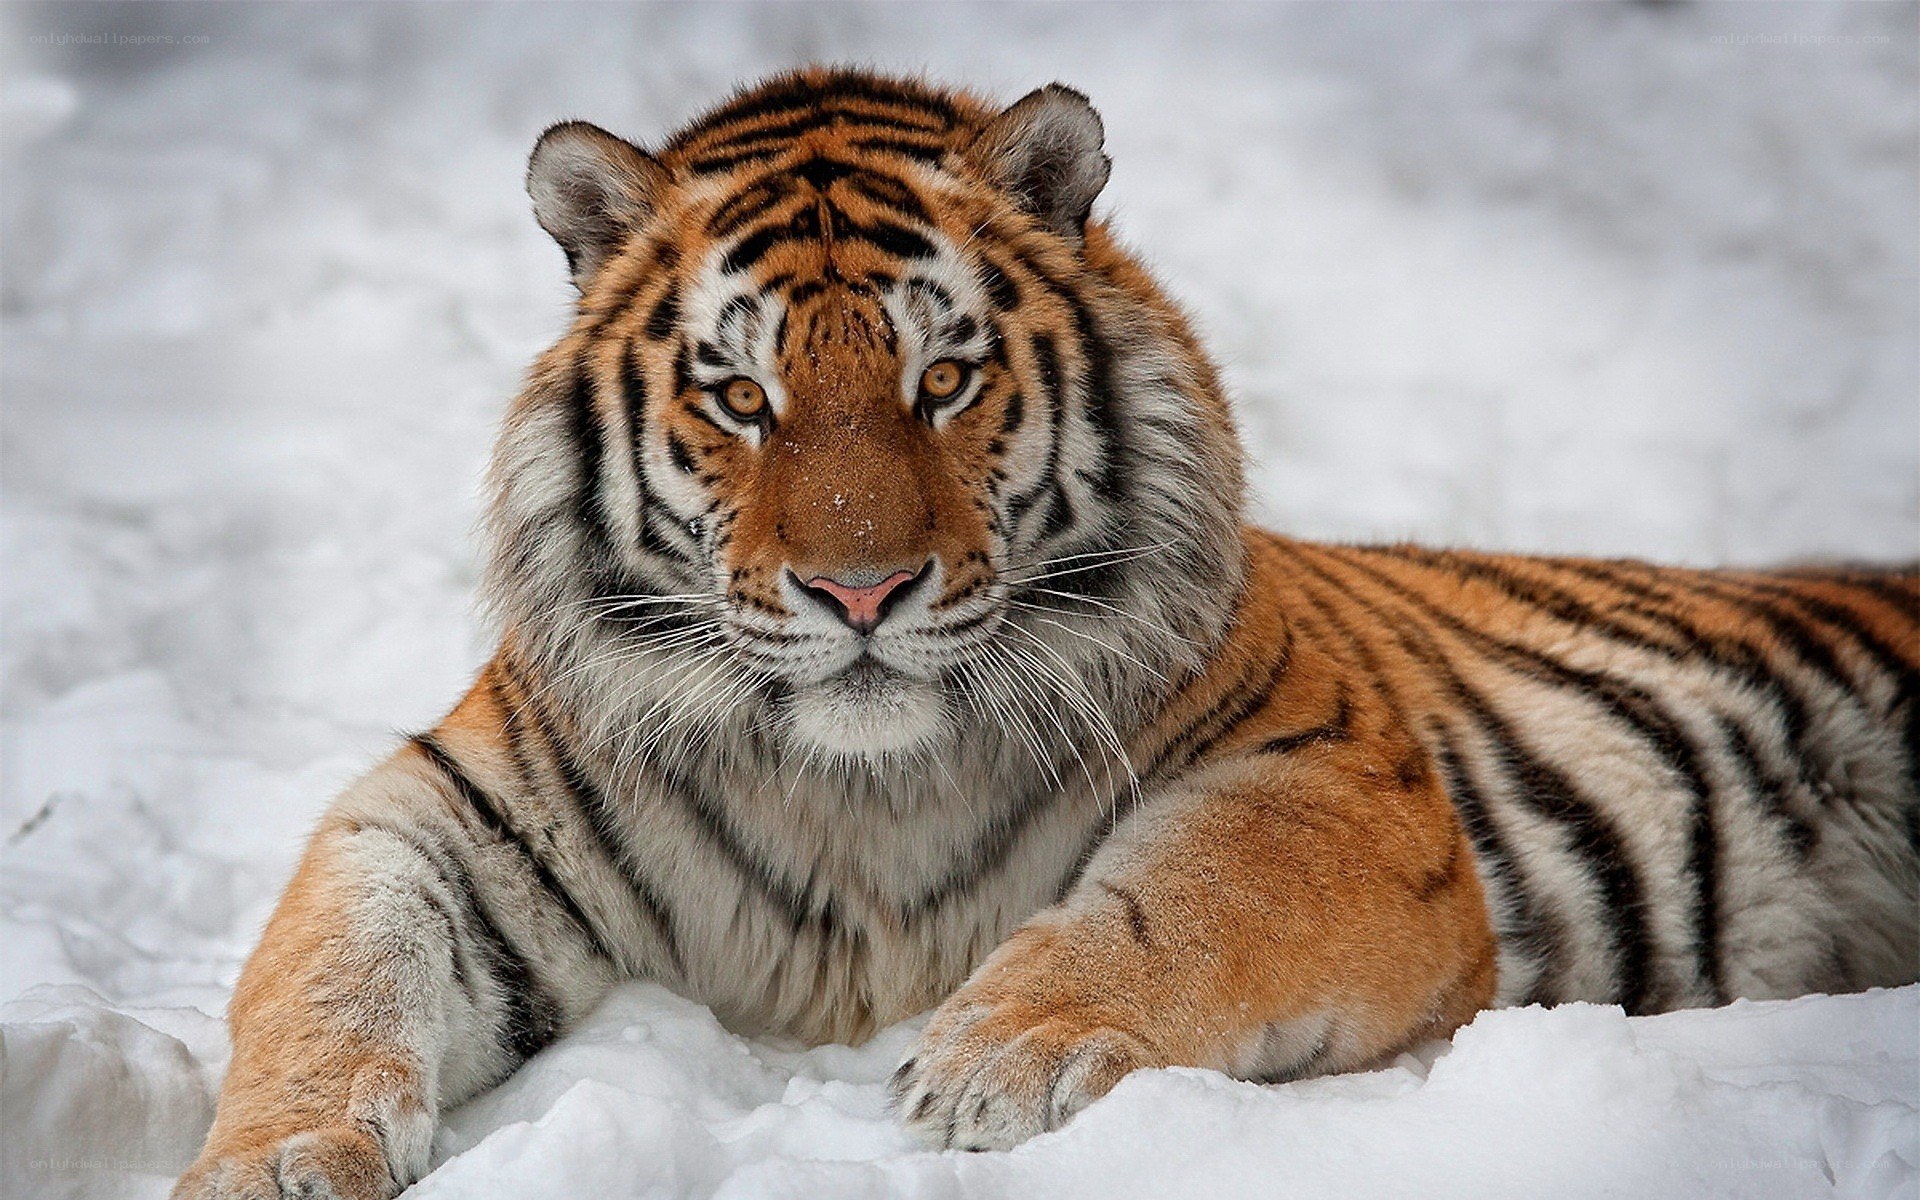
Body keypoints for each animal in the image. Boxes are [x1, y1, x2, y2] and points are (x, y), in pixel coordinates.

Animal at [174, 68, 1919, 1199]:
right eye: (742, 397)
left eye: (943, 378)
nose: (860, 593)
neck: (859, 790)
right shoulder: (440, 815)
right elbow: (330, 977)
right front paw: (272, 1159)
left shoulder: (1336, 781)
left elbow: (1182, 902)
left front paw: (997, 1057)